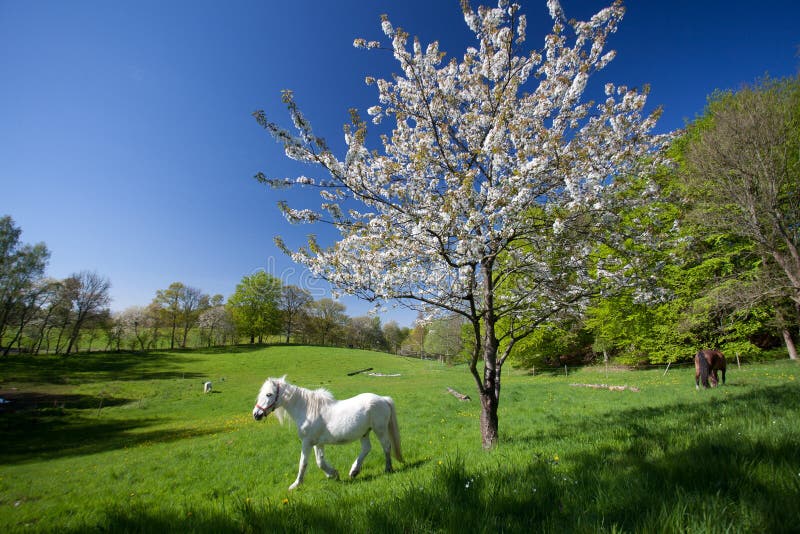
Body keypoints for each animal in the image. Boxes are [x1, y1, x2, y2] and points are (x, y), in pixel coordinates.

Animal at [252, 376, 403, 490]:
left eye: (269, 394)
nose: (256, 414)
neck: (307, 410)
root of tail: (383, 399)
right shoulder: (317, 443)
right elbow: (320, 461)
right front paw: (333, 474)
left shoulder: (307, 442)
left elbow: (303, 463)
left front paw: (295, 485)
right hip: (364, 433)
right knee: (366, 448)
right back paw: (354, 471)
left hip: (380, 429)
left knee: (386, 446)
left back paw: (388, 469)